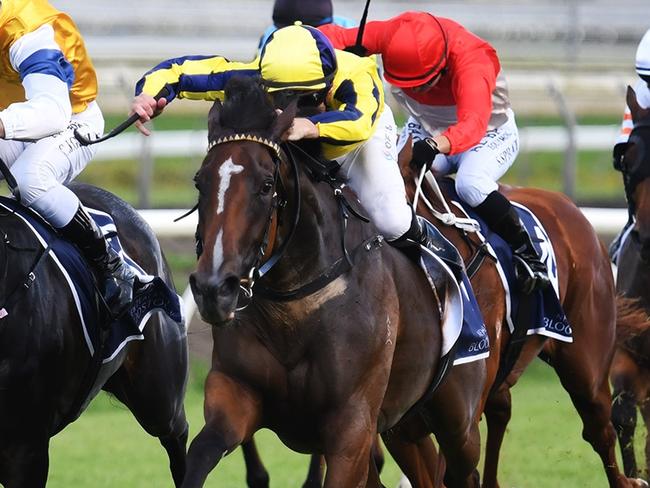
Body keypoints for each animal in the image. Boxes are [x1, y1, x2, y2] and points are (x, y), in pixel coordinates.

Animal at [182, 77, 486, 488]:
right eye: (201, 181)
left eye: (266, 185)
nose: (215, 288)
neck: (294, 307)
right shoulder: (234, 394)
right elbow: (198, 457)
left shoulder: (351, 425)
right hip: (403, 427)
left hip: (459, 418)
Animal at [394, 132, 644, 486]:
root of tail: (568, 206)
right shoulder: (401, 423)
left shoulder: (460, 418)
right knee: (503, 408)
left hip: (587, 363)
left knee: (601, 429)